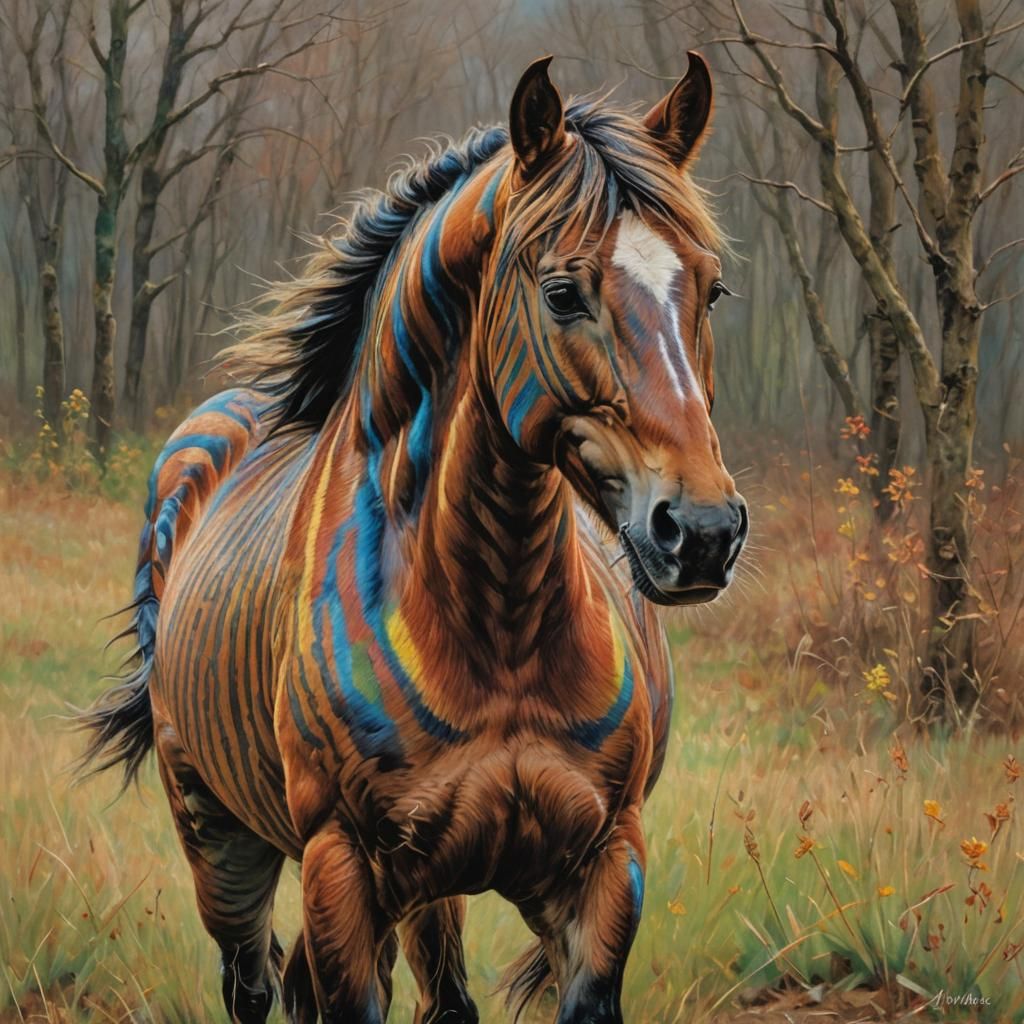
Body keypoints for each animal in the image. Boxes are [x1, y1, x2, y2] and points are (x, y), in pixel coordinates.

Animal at [80, 53, 747, 1024]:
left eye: (711, 287)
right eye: (561, 292)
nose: (700, 532)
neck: (499, 625)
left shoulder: (602, 868)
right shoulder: (343, 870)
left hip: (431, 883)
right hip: (220, 838)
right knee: (253, 981)